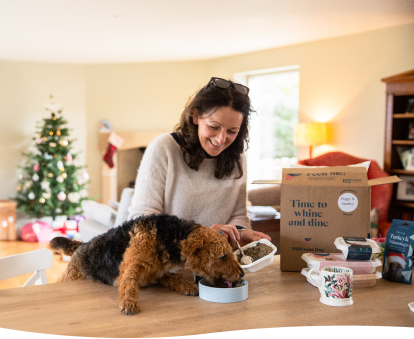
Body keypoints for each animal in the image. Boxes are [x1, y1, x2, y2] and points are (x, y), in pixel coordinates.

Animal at [49, 215, 243, 316]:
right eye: (223, 256)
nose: (241, 274)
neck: (167, 236)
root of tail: (82, 245)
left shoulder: (157, 272)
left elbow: (173, 277)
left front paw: (188, 286)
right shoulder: (131, 263)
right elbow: (129, 281)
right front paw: (129, 303)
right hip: (72, 274)